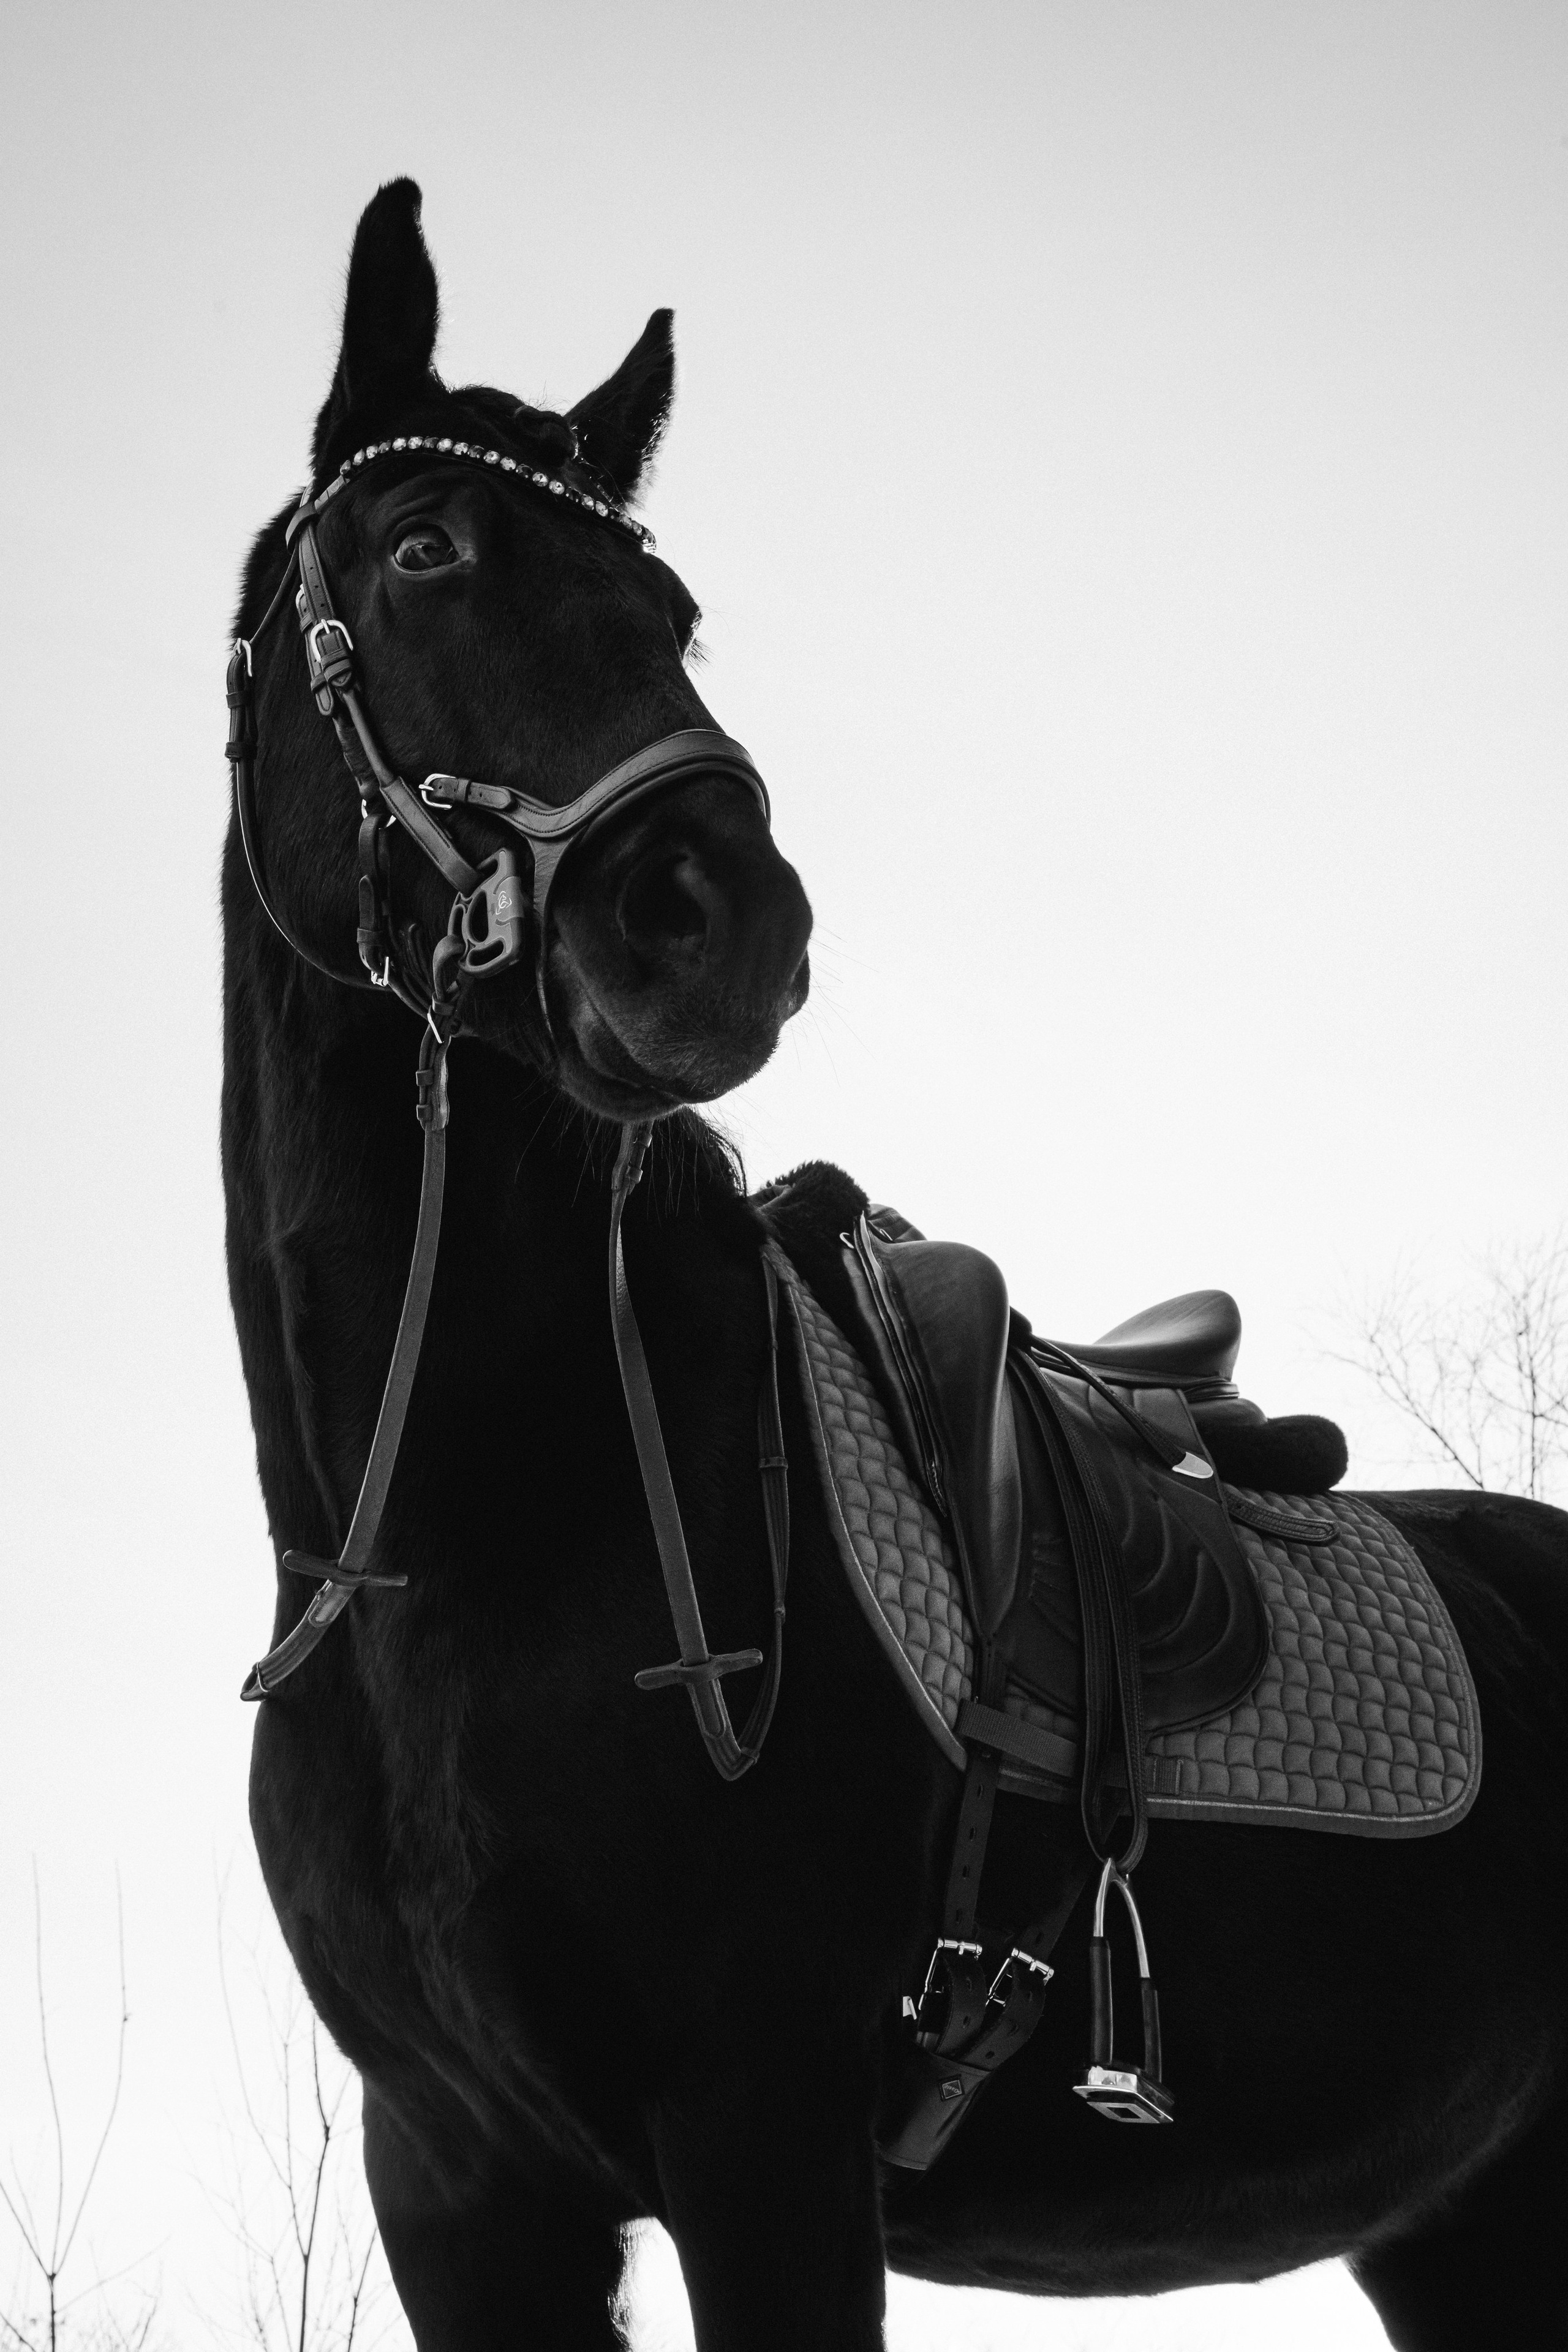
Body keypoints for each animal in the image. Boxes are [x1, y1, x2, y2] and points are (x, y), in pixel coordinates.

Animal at [223, 178, 1567, 2351]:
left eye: (671, 612)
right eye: (425, 549)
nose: (714, 920)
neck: (468, 1537)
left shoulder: (759, 2135)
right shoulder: (463, 2183)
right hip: (1472, 2218)